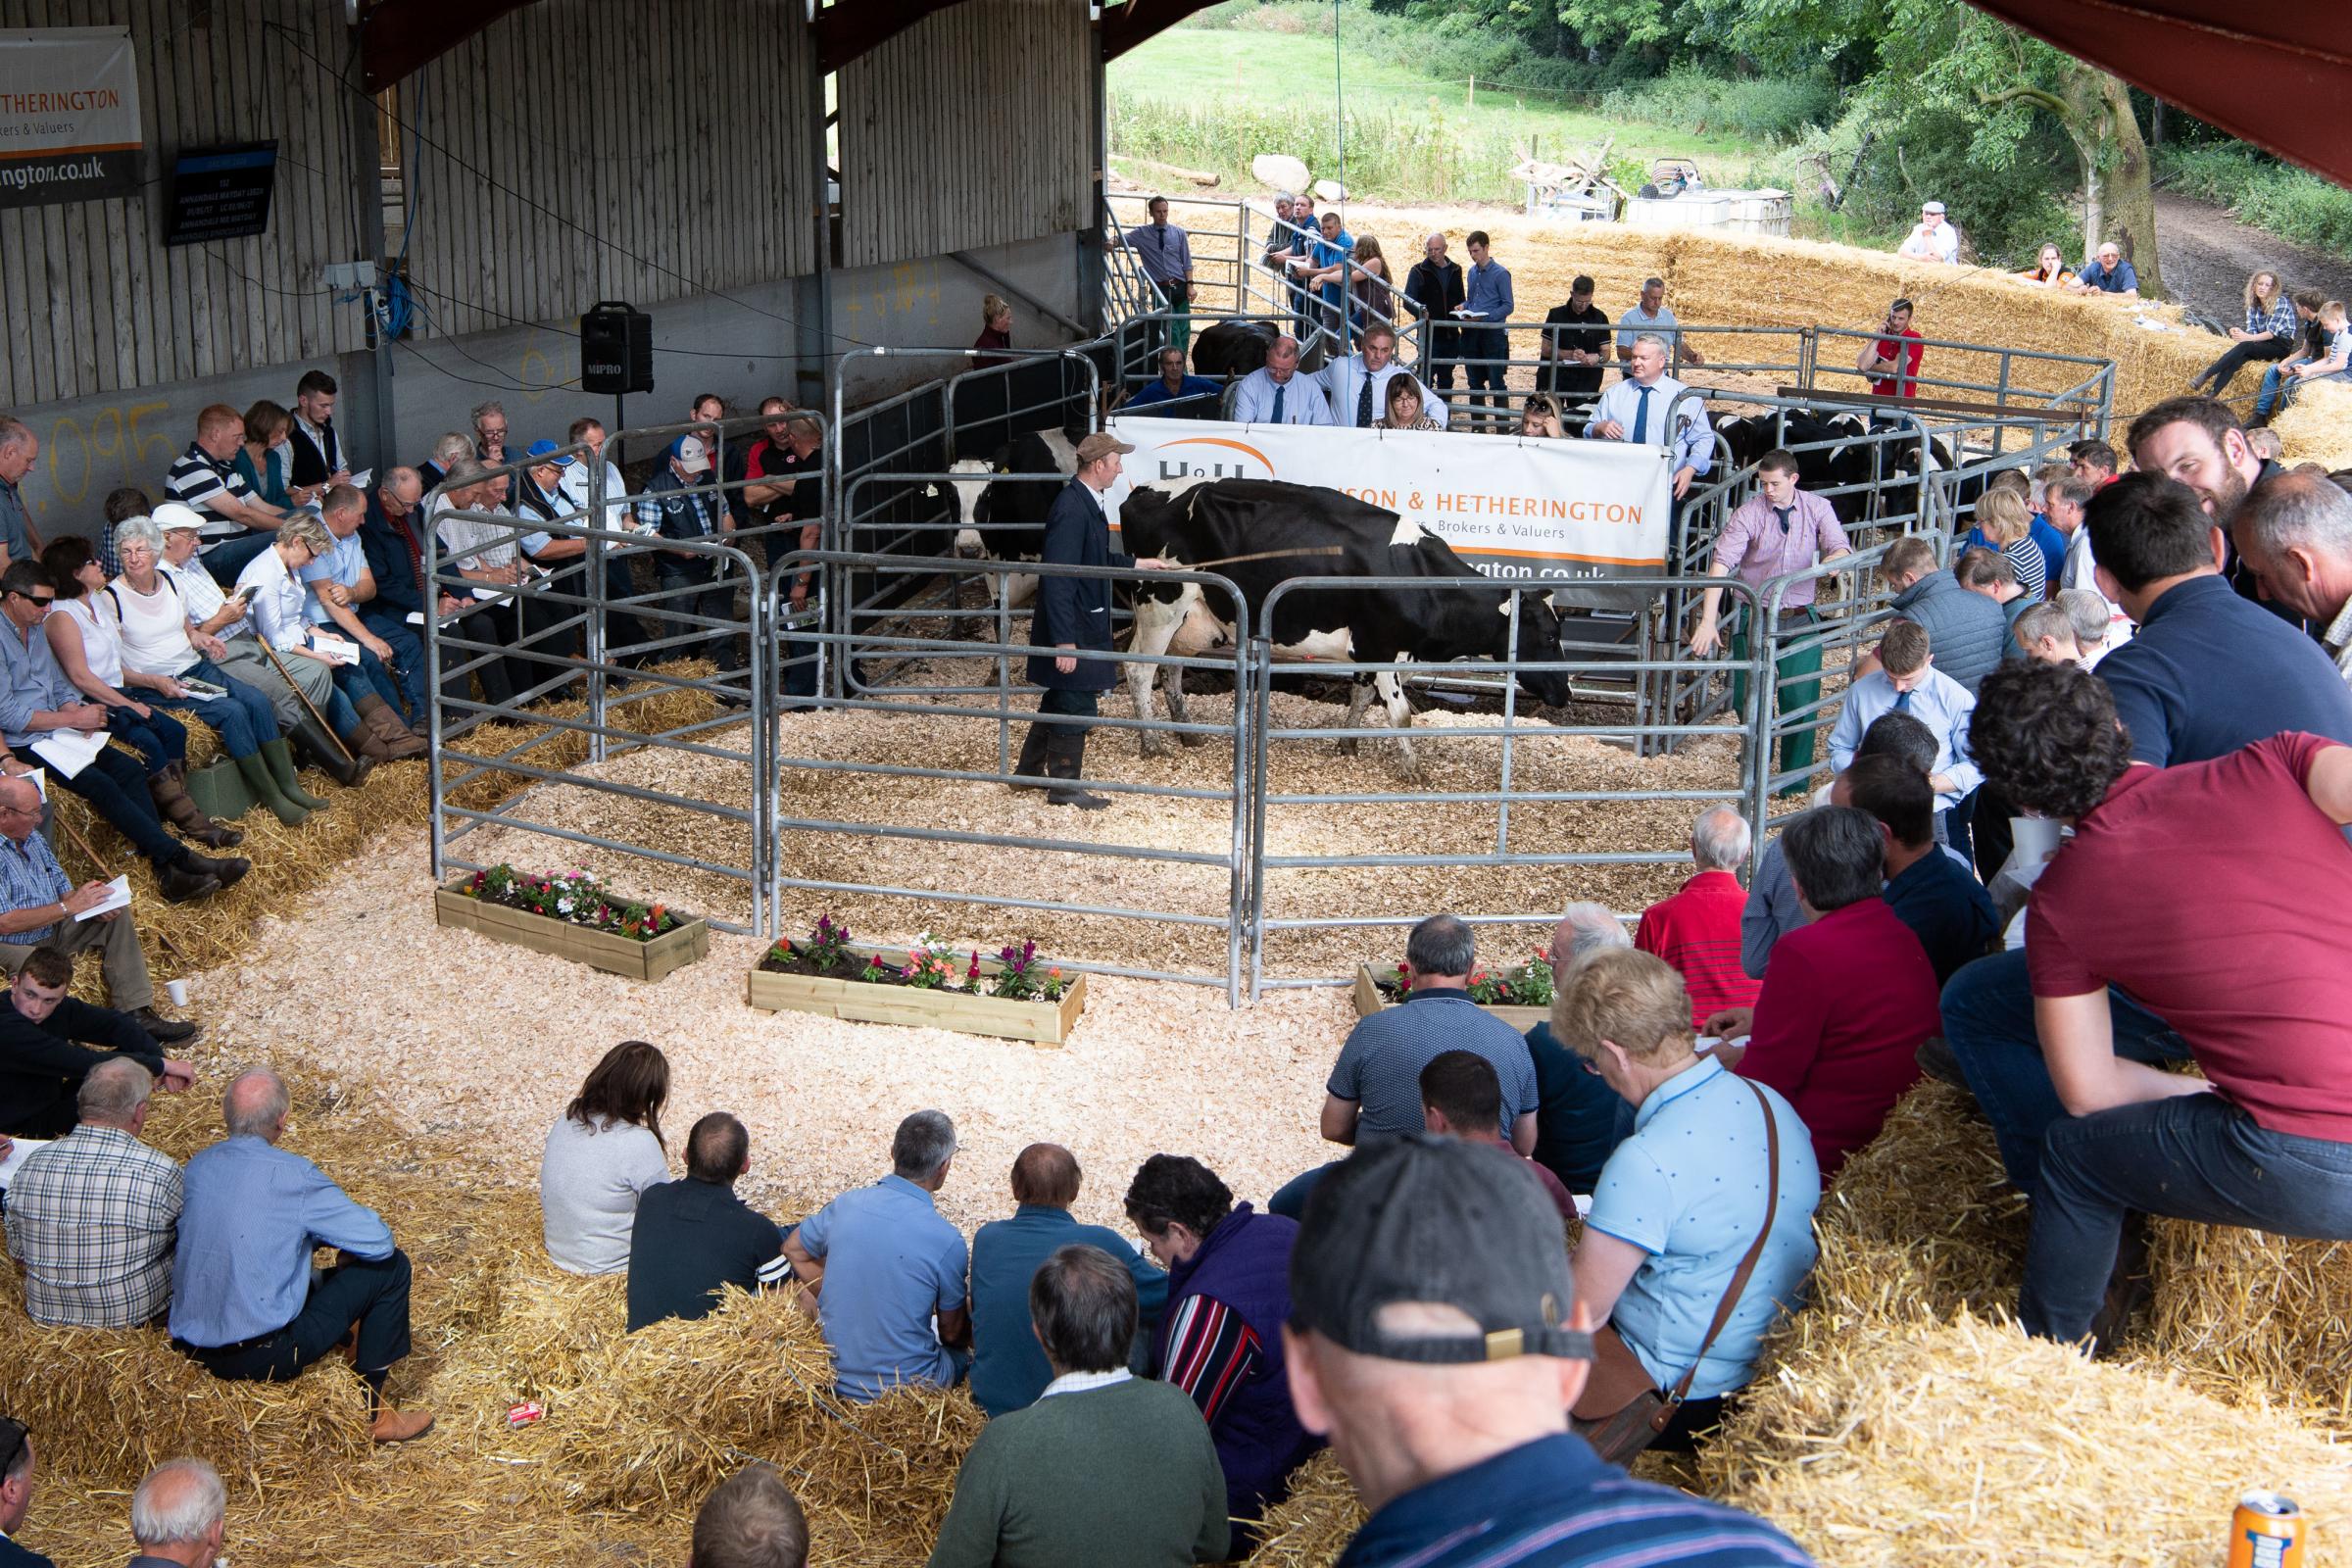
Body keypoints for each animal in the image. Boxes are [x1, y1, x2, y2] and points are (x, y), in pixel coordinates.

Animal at [1114, 474, 1571, 775]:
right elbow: (1400, 714)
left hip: (1191, 620)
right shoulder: (1383, 648)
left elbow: (1361, 698)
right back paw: (1151, 741)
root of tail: (1142, 491)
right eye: (1550, 636)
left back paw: (1185, 733)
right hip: (1160, 605)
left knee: (1170, 670)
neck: (1417, 576)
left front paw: (1347, 744)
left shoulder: (1371, 649)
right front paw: (1412, 768)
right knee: (1138, 669)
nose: (1566, 694)